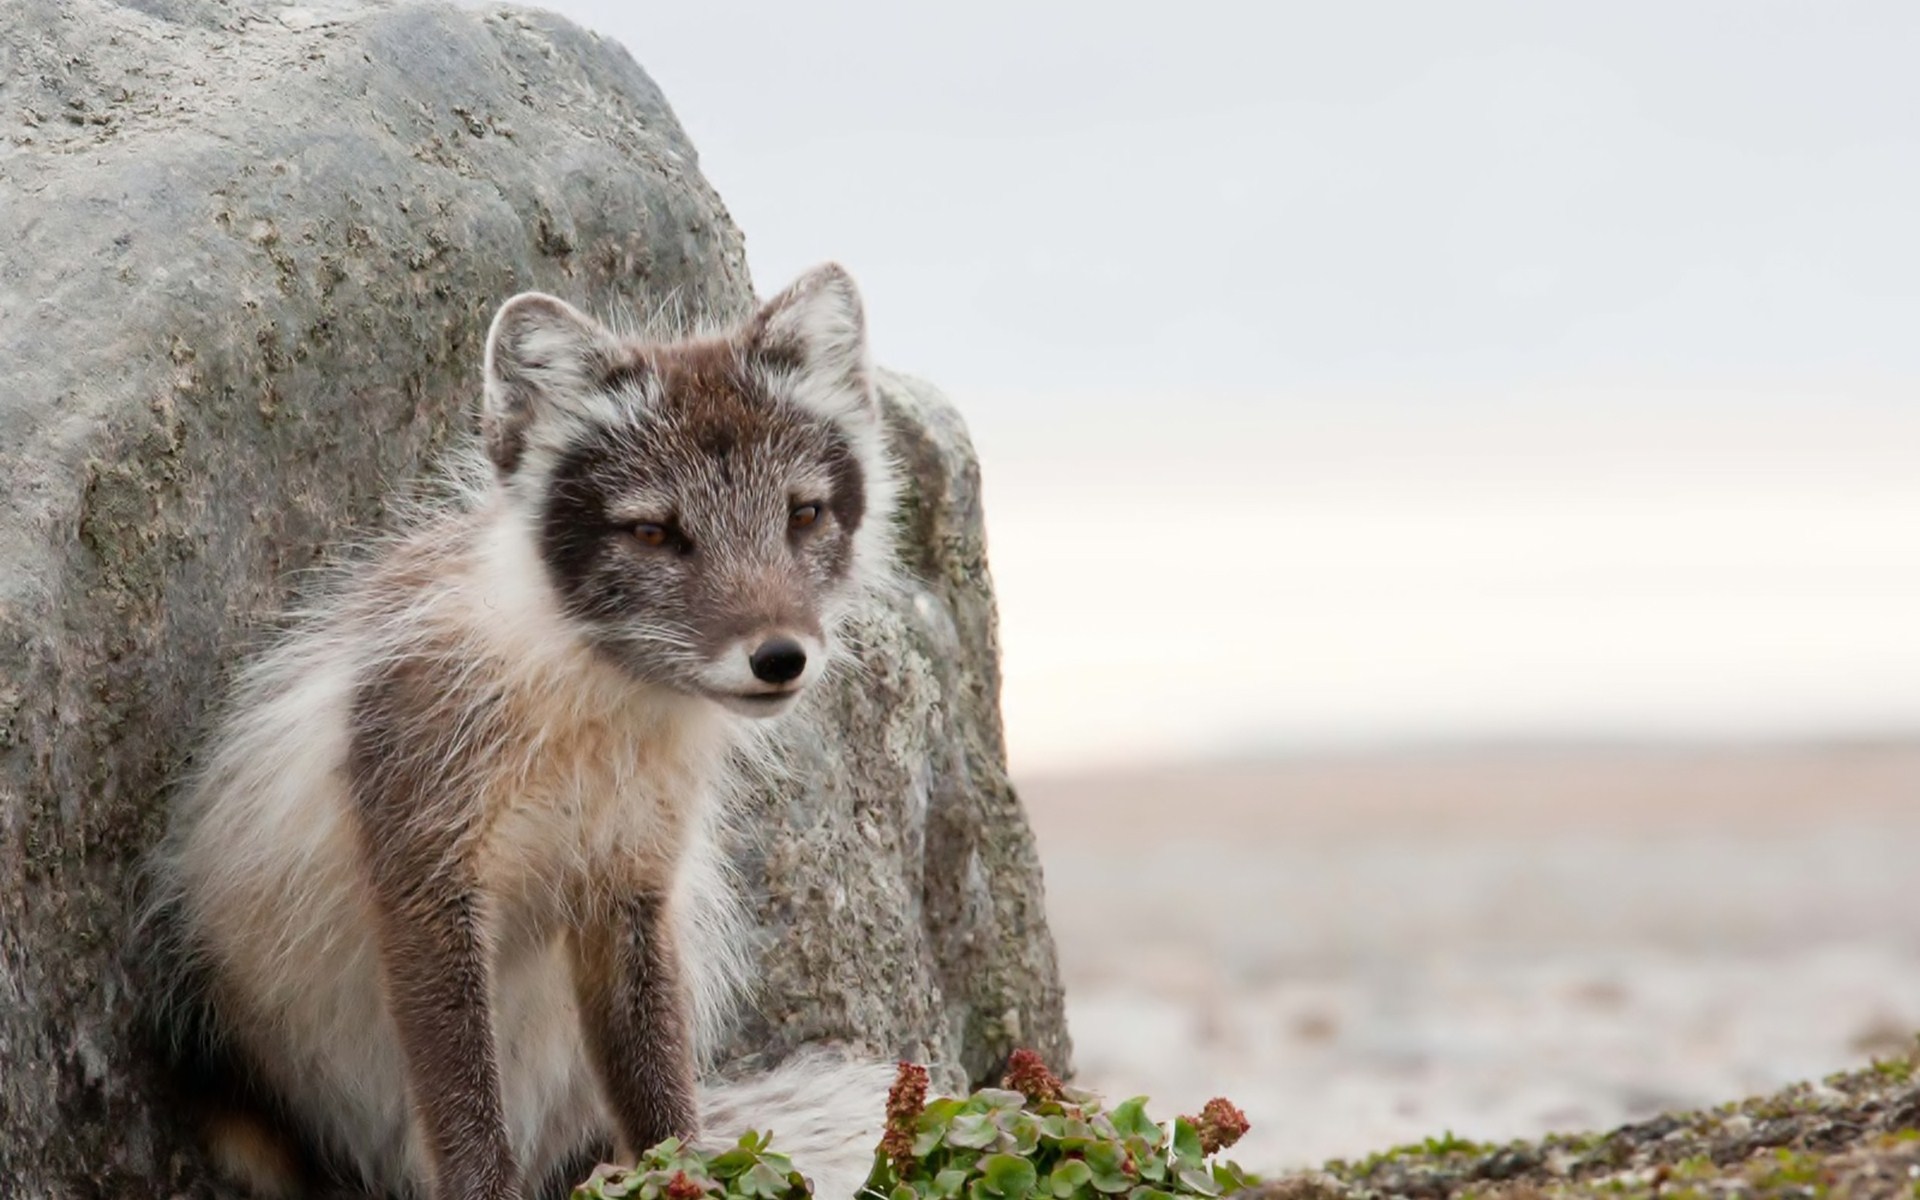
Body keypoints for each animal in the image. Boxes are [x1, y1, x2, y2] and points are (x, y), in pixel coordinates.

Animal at [147, 264, 898, 1198]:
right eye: (653, 532)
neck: (587, 717)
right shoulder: (426, 877)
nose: (780, 657)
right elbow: (466, 1108)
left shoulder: (629, 886)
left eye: (803, 515)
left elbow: (661, 1095)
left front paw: (687, 1176)